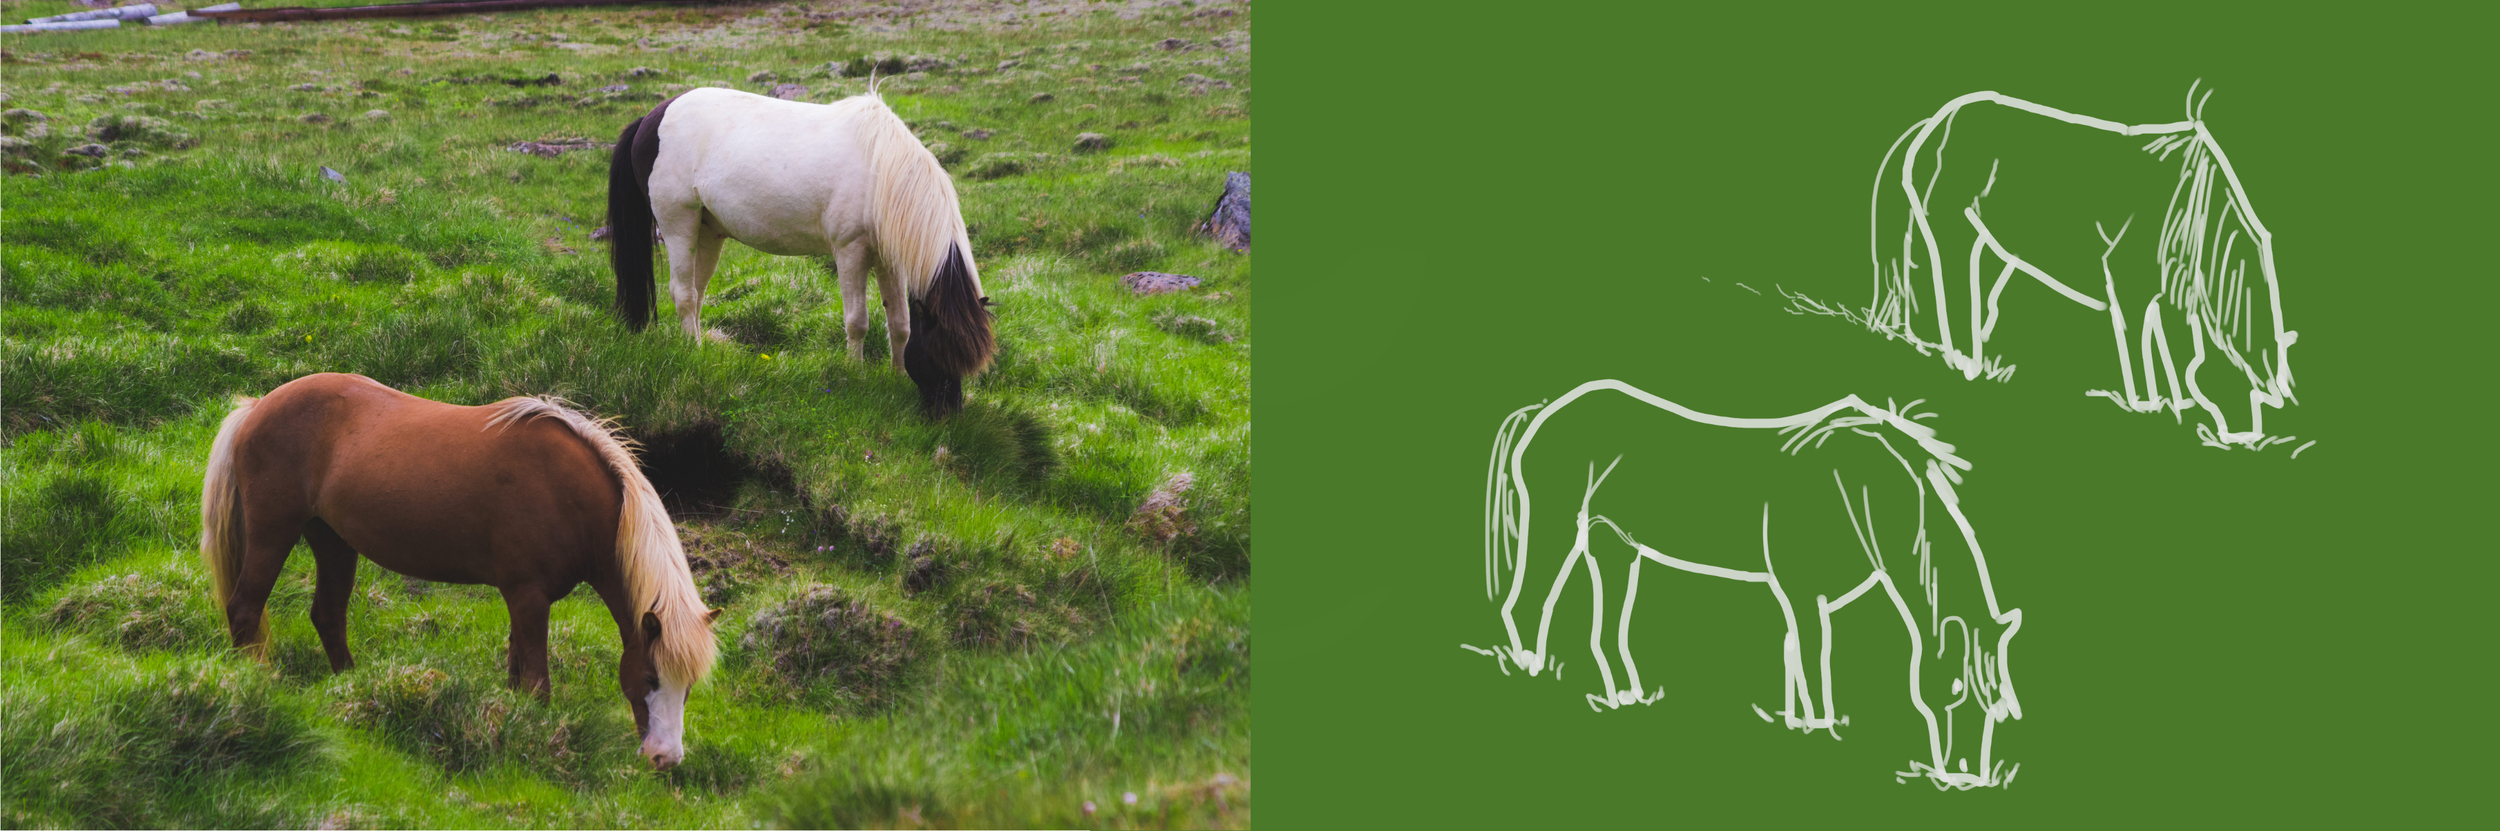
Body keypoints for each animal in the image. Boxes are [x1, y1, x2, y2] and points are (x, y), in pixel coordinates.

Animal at [198, 373, 721, 770]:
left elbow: (517, 671)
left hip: (333, 541)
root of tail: (258, 406)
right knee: (245, 609)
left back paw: (352, 686)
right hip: (273, 532)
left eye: (689, 686)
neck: (568, 491)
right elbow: (537, 683)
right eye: (650, 677)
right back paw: (257, 685)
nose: (666, 759)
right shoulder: (528, 596)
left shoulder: (522, 600)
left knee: (327, 615)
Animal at [607, 86, 997, 416]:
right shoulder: (850, 252)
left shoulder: (889, 262)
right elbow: (858, 322)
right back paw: (694, 352)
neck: (882, 172)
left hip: (708, 232)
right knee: (684, 294)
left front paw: (897, 376)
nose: (948, 415)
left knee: (696, 294)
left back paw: (698, 349)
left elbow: (900, 324)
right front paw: (856, 377)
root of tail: (651, 118)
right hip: (679, 224)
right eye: (939, 352)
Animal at [1460, 380, 2024, 790]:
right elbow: (1814, 655)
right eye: (1953, 692)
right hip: (1556, 525)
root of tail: (1547, 410)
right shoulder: (1801, 591)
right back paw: (1533, 677)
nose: (1967, 778)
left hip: (1613, 546)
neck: (1857, 489)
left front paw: (1799, 725)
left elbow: (1796, 652)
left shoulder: (1808, 597)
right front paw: (1820, 729)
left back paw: (1626, 698)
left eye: (1998, 704)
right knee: (1526, 605)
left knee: (1604, 633)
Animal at [1784, 84, 2300, 451]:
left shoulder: (2170, 291)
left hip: (1986, 244)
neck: (2189, 207)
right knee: (1948, 286)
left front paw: (2178, 403)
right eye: (2237, 374)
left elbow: (2170, 348)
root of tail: (1938, 118)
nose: (2243, 437)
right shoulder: (2127, 280)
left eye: (2260, 389)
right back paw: (1964, 363)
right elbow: (2137, 342)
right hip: (1951, 229)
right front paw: (2149, 406)